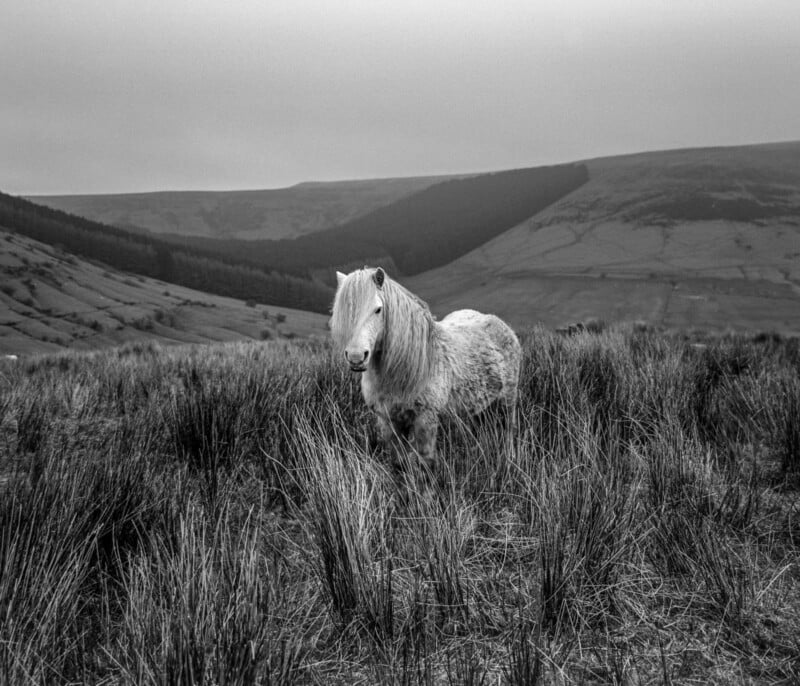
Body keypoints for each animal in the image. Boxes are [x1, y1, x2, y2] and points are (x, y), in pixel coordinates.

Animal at [330, 266, 521, 470]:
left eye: (378, 310)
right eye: (342, 312)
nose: (356, 357)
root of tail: (499, 323)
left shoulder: (425, 420)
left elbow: (426, 462)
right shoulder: (389, 421)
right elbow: (398, 463)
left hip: (507, 400)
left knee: (508, 430)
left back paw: (509, 461)